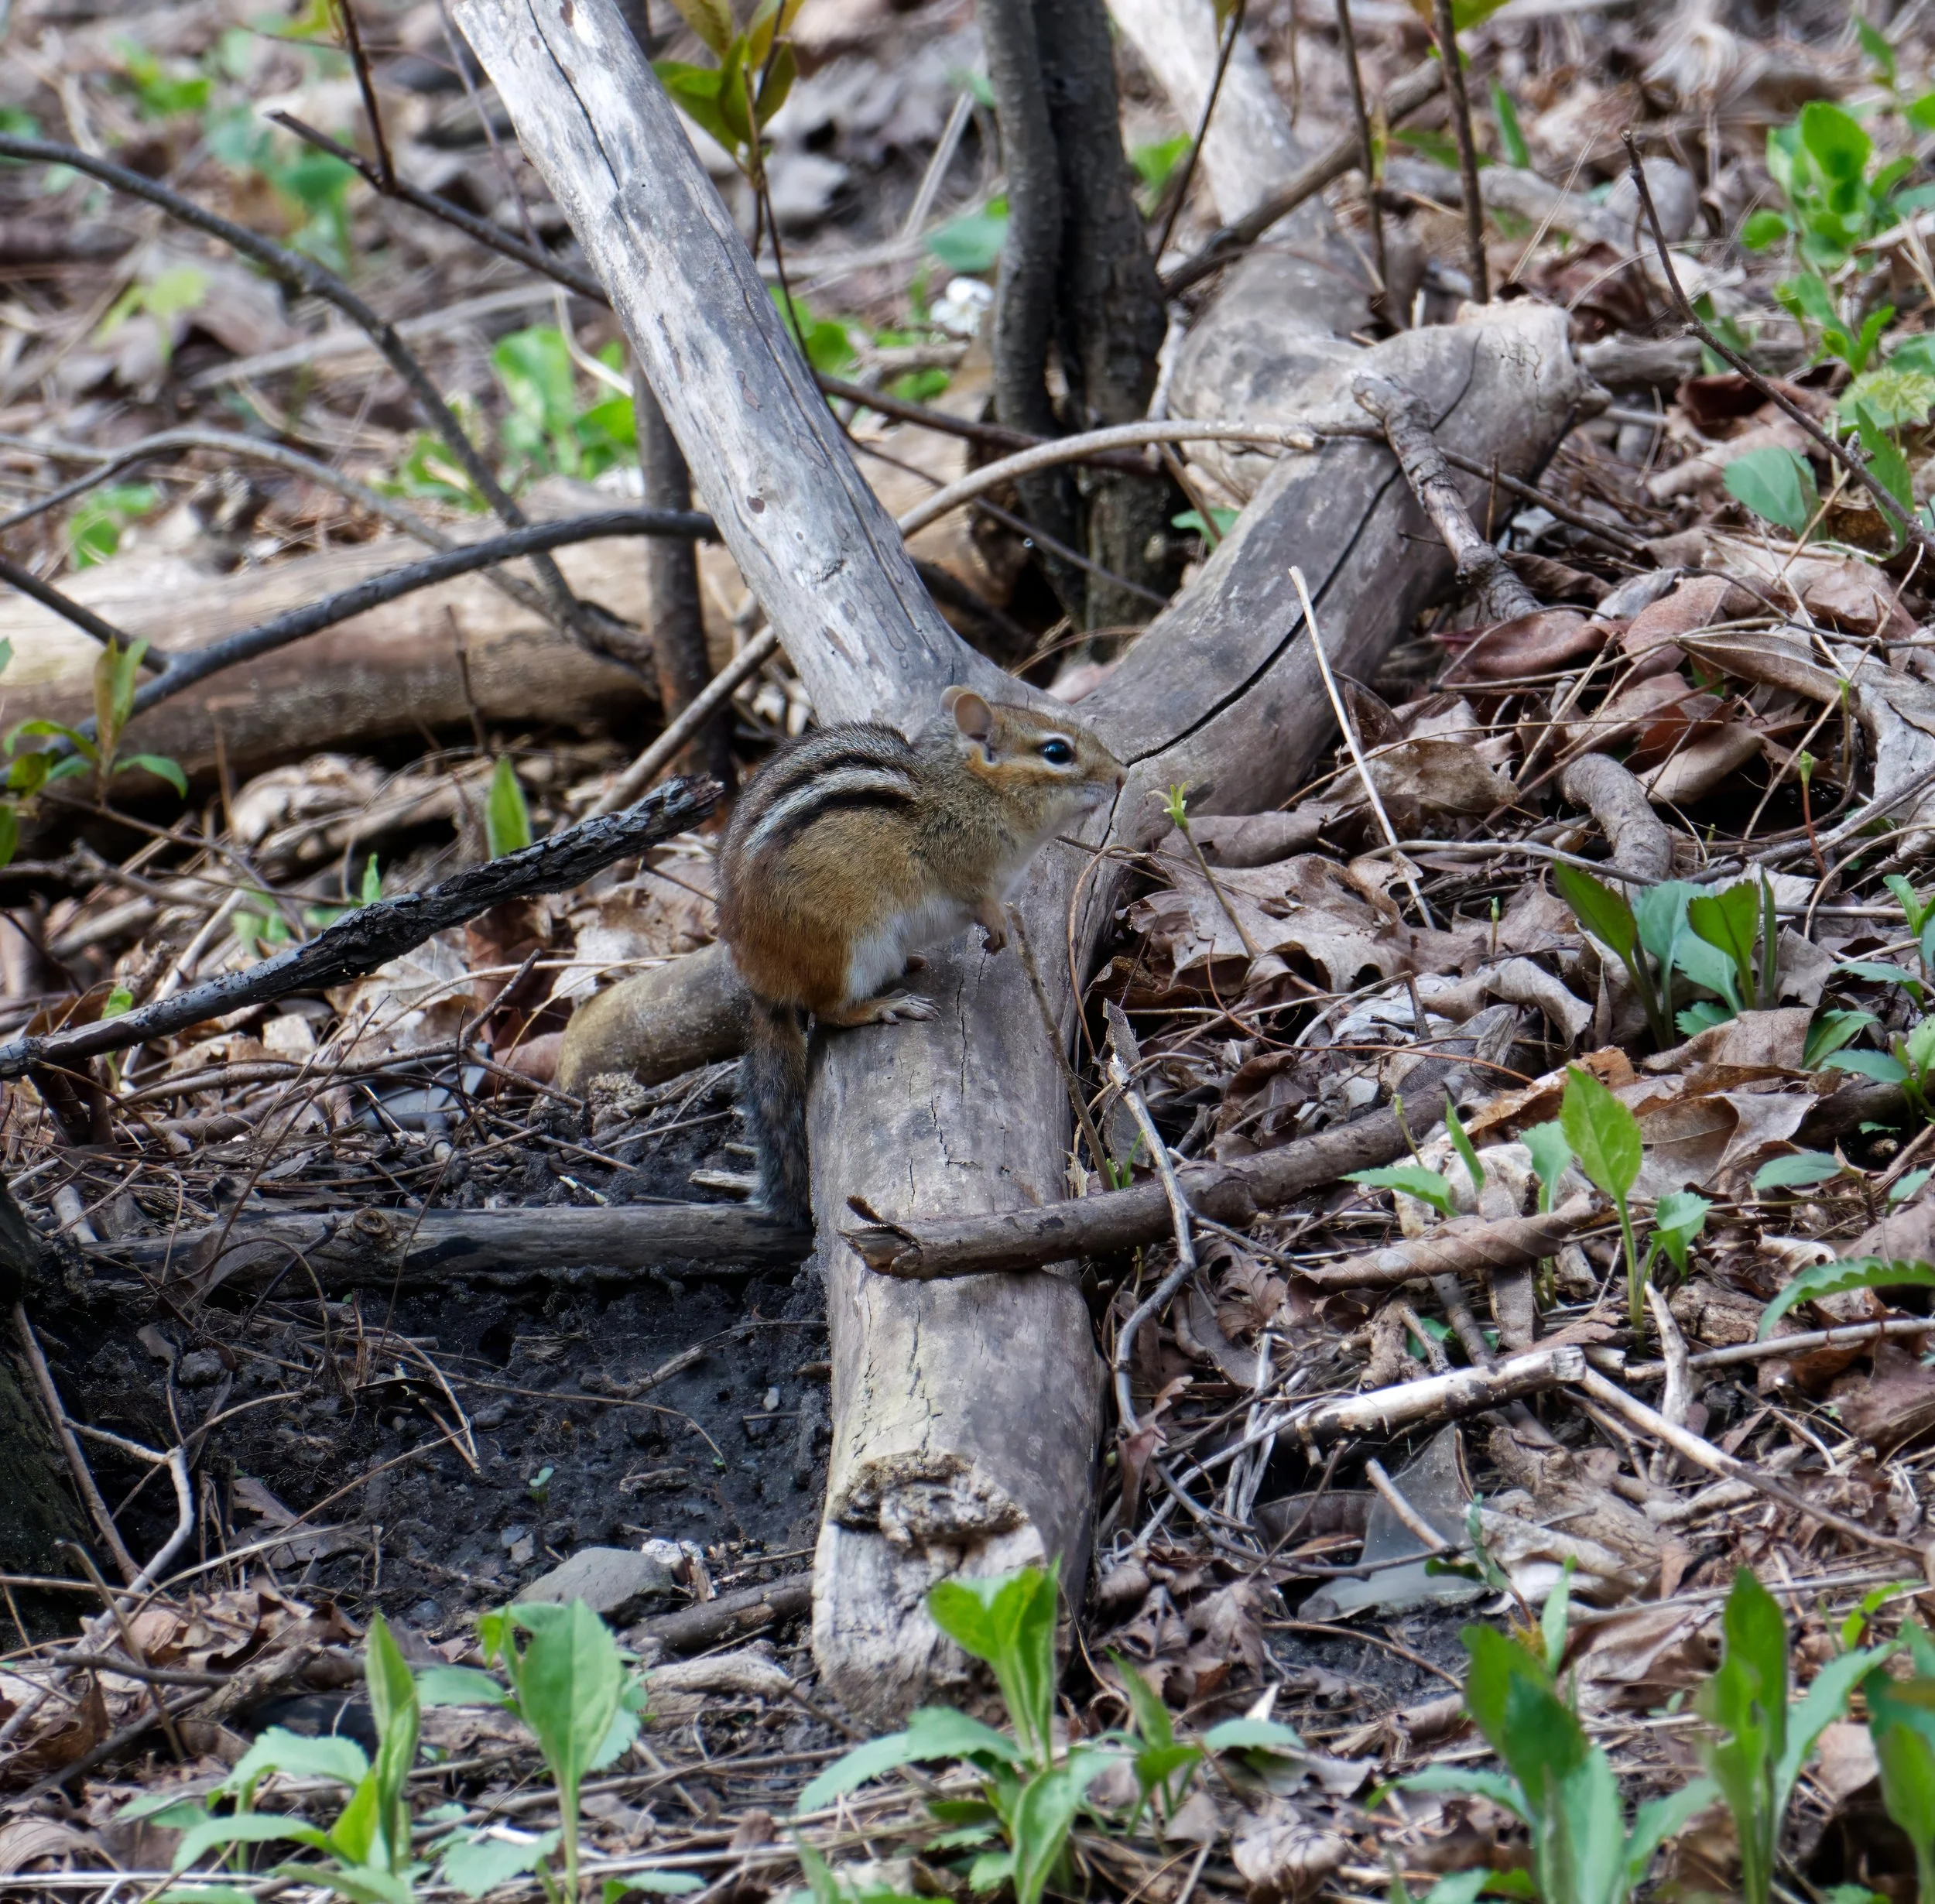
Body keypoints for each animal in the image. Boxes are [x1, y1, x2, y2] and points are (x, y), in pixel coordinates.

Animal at [717, 685, 1124, 1225]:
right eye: (1057, 751)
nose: (1121, 773)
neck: (971, 791)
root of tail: (763, 983)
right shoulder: (960, 867)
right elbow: (978, 899)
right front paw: (997, 924)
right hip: (851, 946)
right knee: (829, 1011)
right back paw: (884, 1005)